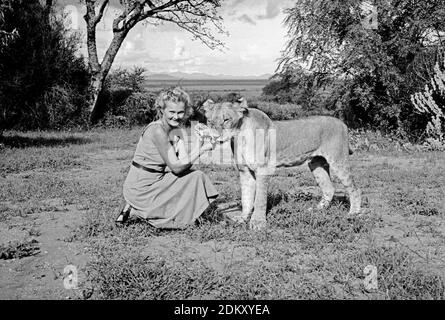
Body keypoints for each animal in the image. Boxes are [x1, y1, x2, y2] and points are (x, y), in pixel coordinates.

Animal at [201, 97, 360, 230]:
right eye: (210, 122)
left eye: (226, 120)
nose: (215, 136)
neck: (240, 136)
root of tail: (342, 123)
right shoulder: (245, 171)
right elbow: (246, 197)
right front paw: (243, 219)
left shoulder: (263, 169)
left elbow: (259, 199)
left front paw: (257, 223)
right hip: (316, 163)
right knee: (329, 188)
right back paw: (316, 210)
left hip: (338, 160)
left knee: (354, 188)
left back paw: (354, 214)